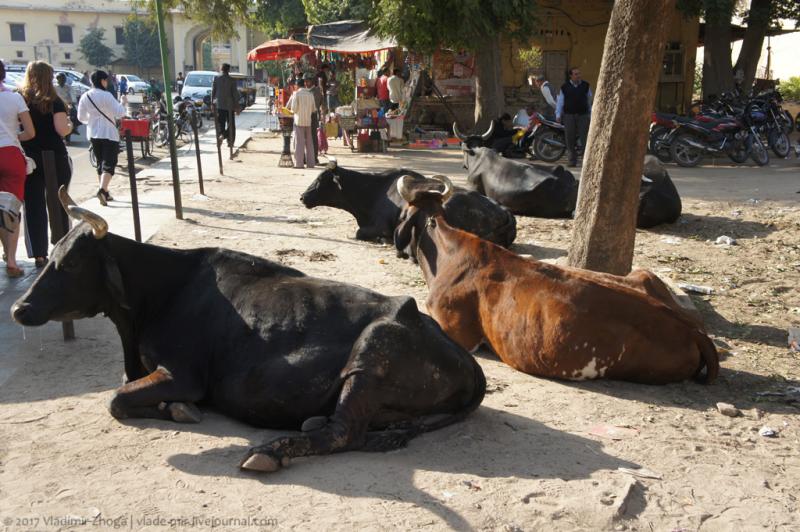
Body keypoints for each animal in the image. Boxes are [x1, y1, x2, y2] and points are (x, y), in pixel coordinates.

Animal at [12, 187, 484, 474]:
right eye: (53, 251)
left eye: (72, 262)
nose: (19, 307)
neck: (158, 296)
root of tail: (469, 362)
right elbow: (122, 389)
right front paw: (173, 408)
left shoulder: (184, 374)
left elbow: (116, 399)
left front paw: (177, 408)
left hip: (374, 350)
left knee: (344, 431)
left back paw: (268, 452)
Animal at [302, 158, 520, 251]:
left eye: (321, 179)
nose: (302, 197)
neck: (372, 191)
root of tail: (504, 211)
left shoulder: (379, 226)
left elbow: (360, 233)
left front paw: (384, 239)